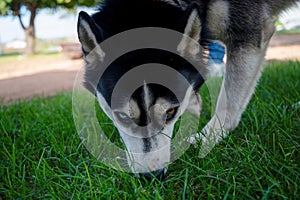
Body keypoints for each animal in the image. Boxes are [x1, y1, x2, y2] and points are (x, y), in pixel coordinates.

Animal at [78, 0, 300, 180]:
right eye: (122, 116)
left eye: (170, 112)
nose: (152, 176)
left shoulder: (247, 34)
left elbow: (227, 102)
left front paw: (207, 138)